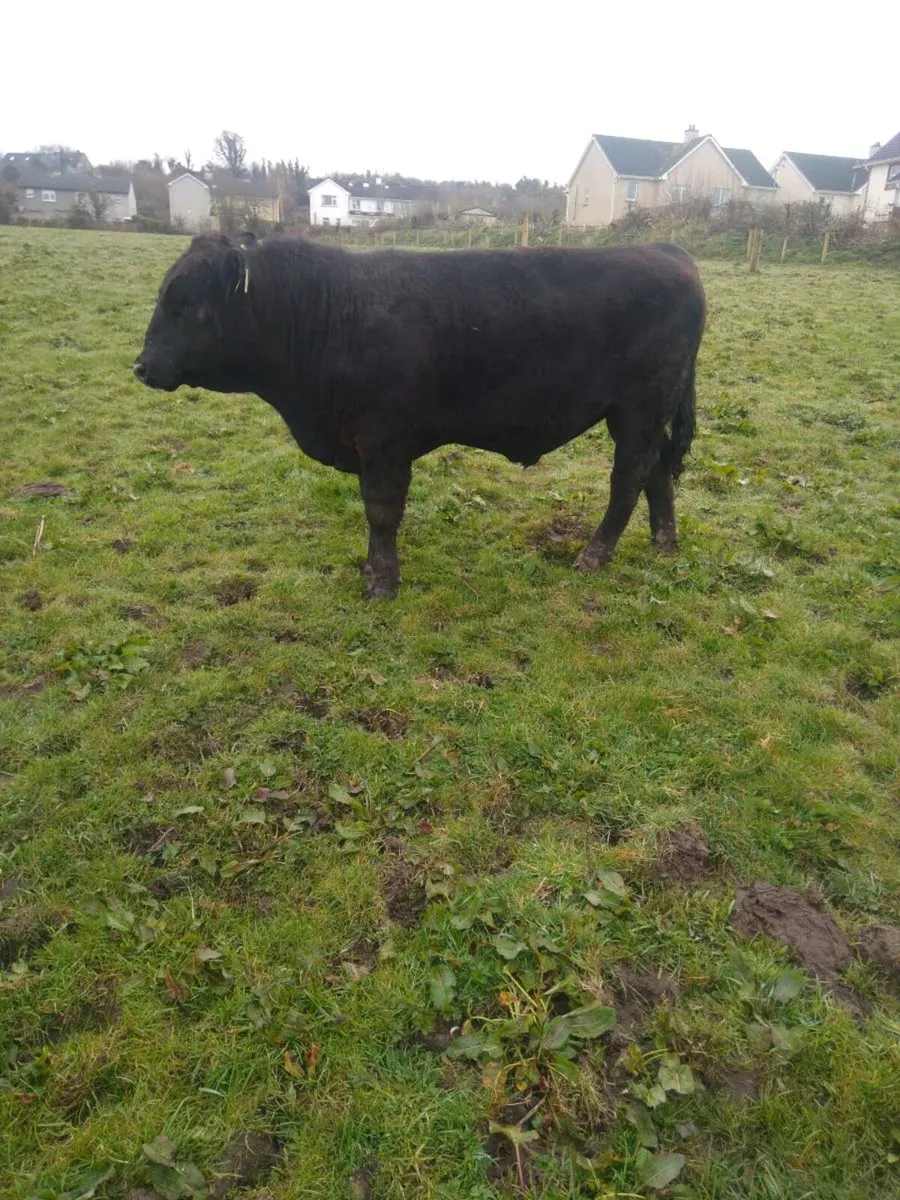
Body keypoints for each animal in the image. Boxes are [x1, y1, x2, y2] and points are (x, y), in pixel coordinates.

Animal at [133, 234, 706, 599]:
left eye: (188, 304)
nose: (142, 365)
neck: (331, 312)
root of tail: (667, 250)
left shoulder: (383, 440)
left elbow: (382, 510)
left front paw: (382, 581)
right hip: (644, 412)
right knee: (657, 471)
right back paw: (665, 545)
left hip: (640, 405)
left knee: (628, 478)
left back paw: (594, 555)